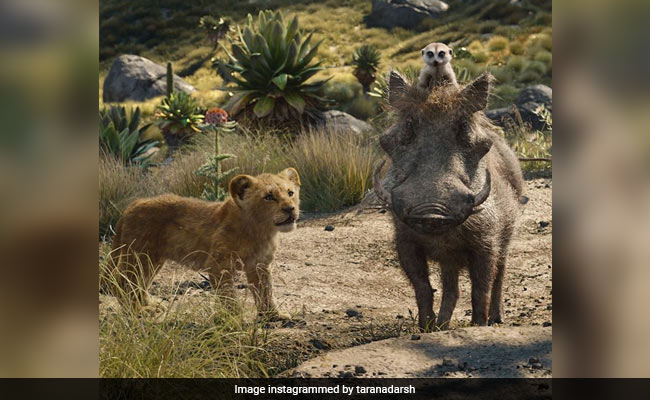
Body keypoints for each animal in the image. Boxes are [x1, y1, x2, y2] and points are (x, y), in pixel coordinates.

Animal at [108, 168, 301, 321]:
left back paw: (151, 305)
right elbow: (228, 295)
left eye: (290, 193)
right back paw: (138, 311)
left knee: (139, 283)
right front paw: (234, 320)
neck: (261, 231)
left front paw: (273, 315)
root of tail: (130, 206)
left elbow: (265, 291)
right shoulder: (219, 265)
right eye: (269, 197)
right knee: (123, 282)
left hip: (152, 260)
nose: (290, 209)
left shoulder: (259, 265)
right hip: (139, 256)